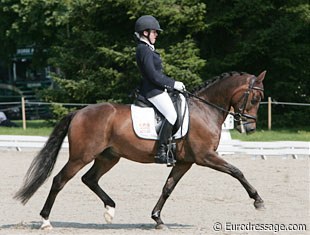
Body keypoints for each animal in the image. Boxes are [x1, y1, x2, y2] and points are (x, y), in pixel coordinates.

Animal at [14, 70, 266, 229]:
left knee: (90, 179)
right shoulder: (206, 156)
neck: (204, 109)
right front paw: (258, 201)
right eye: (254, 98)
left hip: (108, 157)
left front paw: (157, 219)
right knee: (60, 180)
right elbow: (237, 171)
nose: (250, 127)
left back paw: (110, 209)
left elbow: (168, 187)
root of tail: (78, 111)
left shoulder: (185, 161)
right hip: (81, 156)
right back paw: (46, 221)